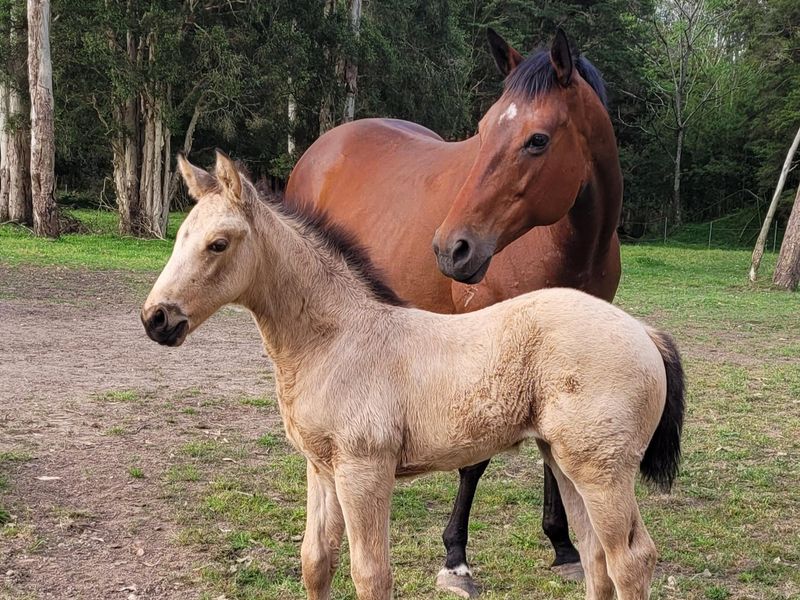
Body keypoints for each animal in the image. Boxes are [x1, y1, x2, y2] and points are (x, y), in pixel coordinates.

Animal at [142, 152, 684, 600]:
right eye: (180, 237)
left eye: (218, 244)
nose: (156, 319)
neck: (336, 340)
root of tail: (643, 330)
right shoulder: (321, 469)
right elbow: (316, 563)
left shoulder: (364, 470)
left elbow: (370, 575)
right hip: (564, 460)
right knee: (596, 557)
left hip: (602, 470)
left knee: (631, 559)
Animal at [285, 28, 622, 591]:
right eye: (483, 131)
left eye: (538, 139)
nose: (451, 248)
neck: (566, 245)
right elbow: (474, 459)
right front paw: (455, 558)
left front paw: (563, 545)